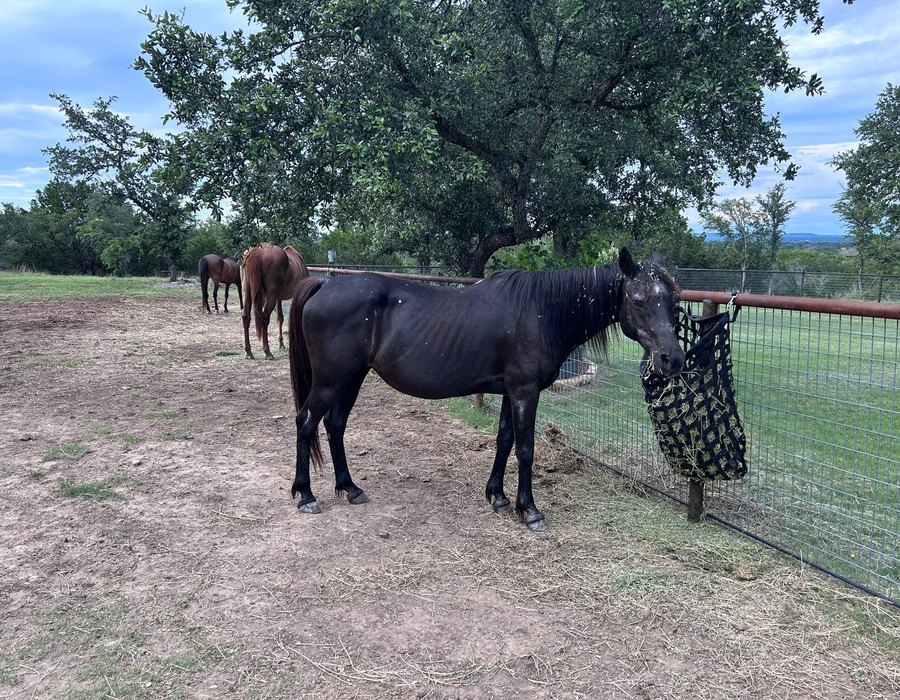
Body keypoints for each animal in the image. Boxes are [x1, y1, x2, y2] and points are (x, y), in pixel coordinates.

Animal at [287, 247, 685, 531]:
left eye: (673, 300)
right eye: (637, 300)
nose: (673, 359)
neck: (540, 310)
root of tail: (325, 285)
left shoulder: (511, 392)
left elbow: (504, 440)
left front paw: (497, 496)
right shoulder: (525, 391)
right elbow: (525, 449)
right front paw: (530, 510)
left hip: (351, 378)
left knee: (335, 425)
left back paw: (350, 488)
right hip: (332, 380)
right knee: (306, 421)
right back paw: (306, 495)